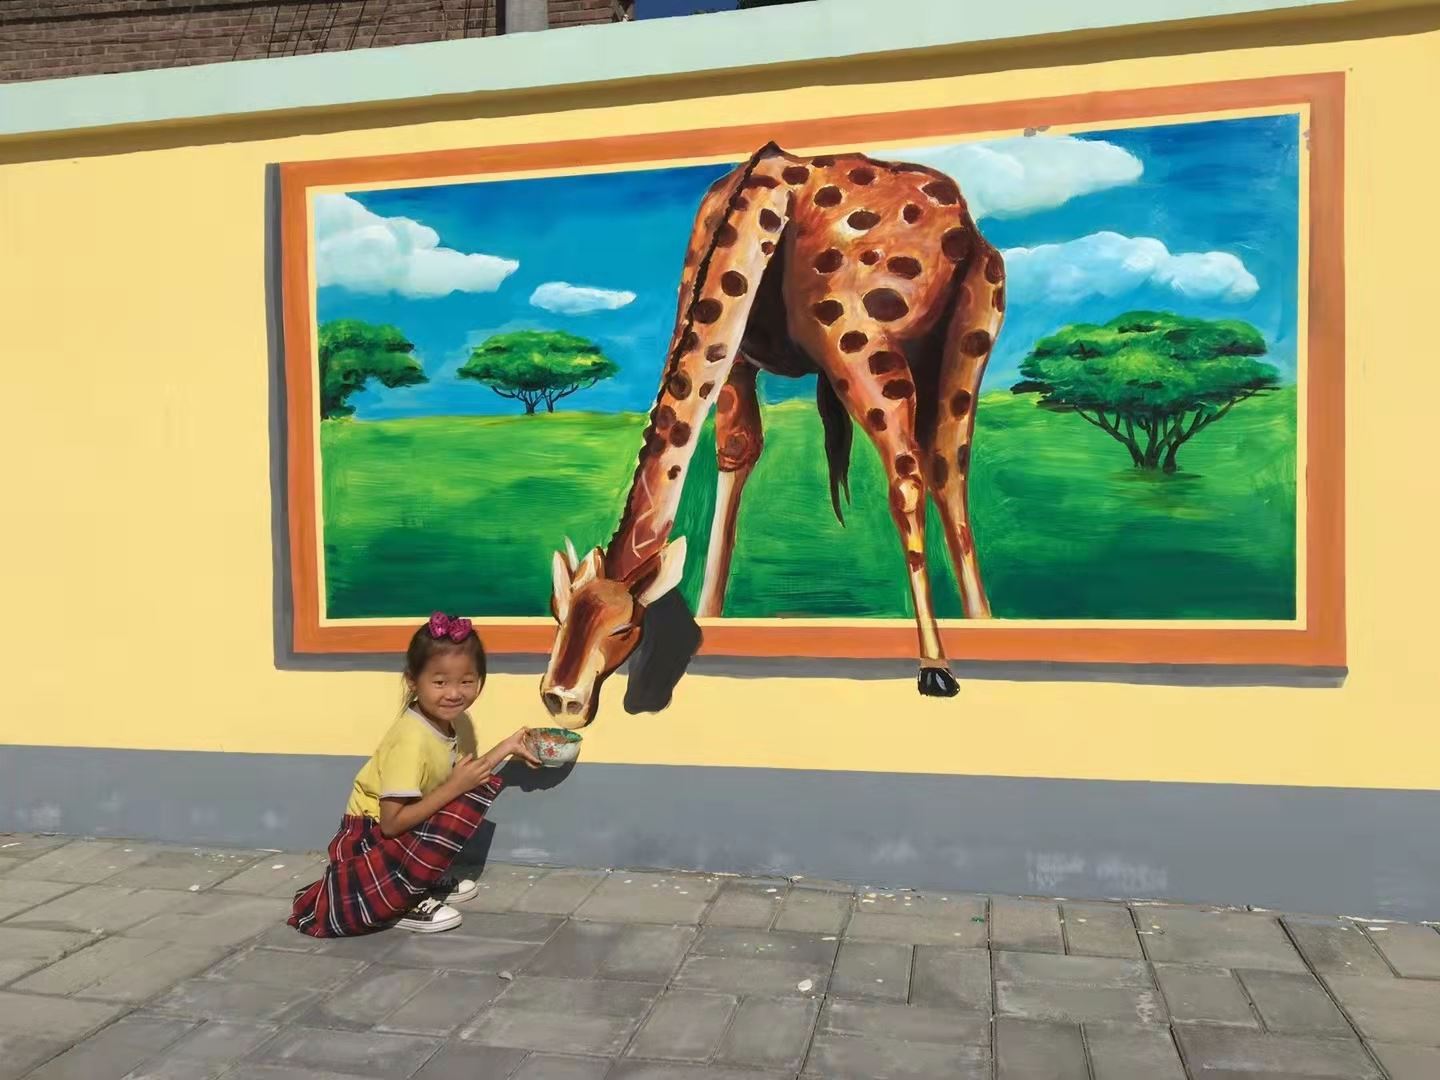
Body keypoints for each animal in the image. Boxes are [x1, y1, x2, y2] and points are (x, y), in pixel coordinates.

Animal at [540, 142, 1004, 724]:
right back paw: (983, 624)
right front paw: (713, 619)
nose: (560, 697)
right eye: (556, 613)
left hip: (894, 345)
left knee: (915, 475)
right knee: (947, 466)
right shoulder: (738, 356)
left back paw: (937, 661)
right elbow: (737, 453)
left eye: (625, 626)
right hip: (957, 340)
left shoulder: (823, 341)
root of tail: (962, 222)